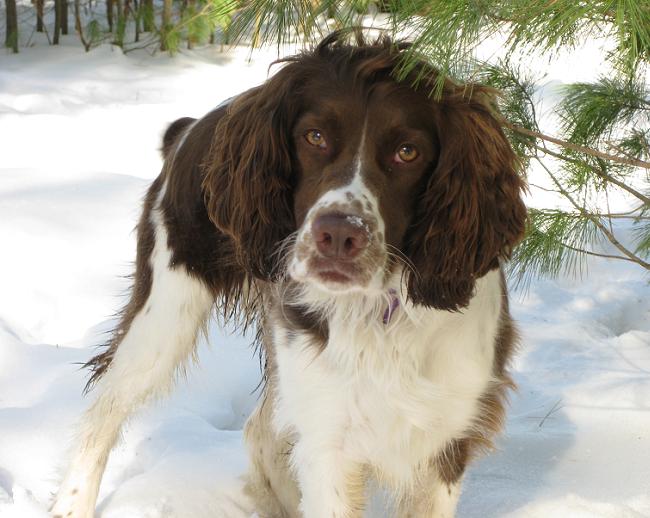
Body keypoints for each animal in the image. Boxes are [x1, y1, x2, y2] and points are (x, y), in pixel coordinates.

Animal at [50, 33, 528, 518]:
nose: (339, 234)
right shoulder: (329, 434)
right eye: (314, 137)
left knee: (260, 432)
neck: (379, 314)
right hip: (164, 315)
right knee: (105, 409)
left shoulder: (444, 439)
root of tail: (188, 129)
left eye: (407, 152)